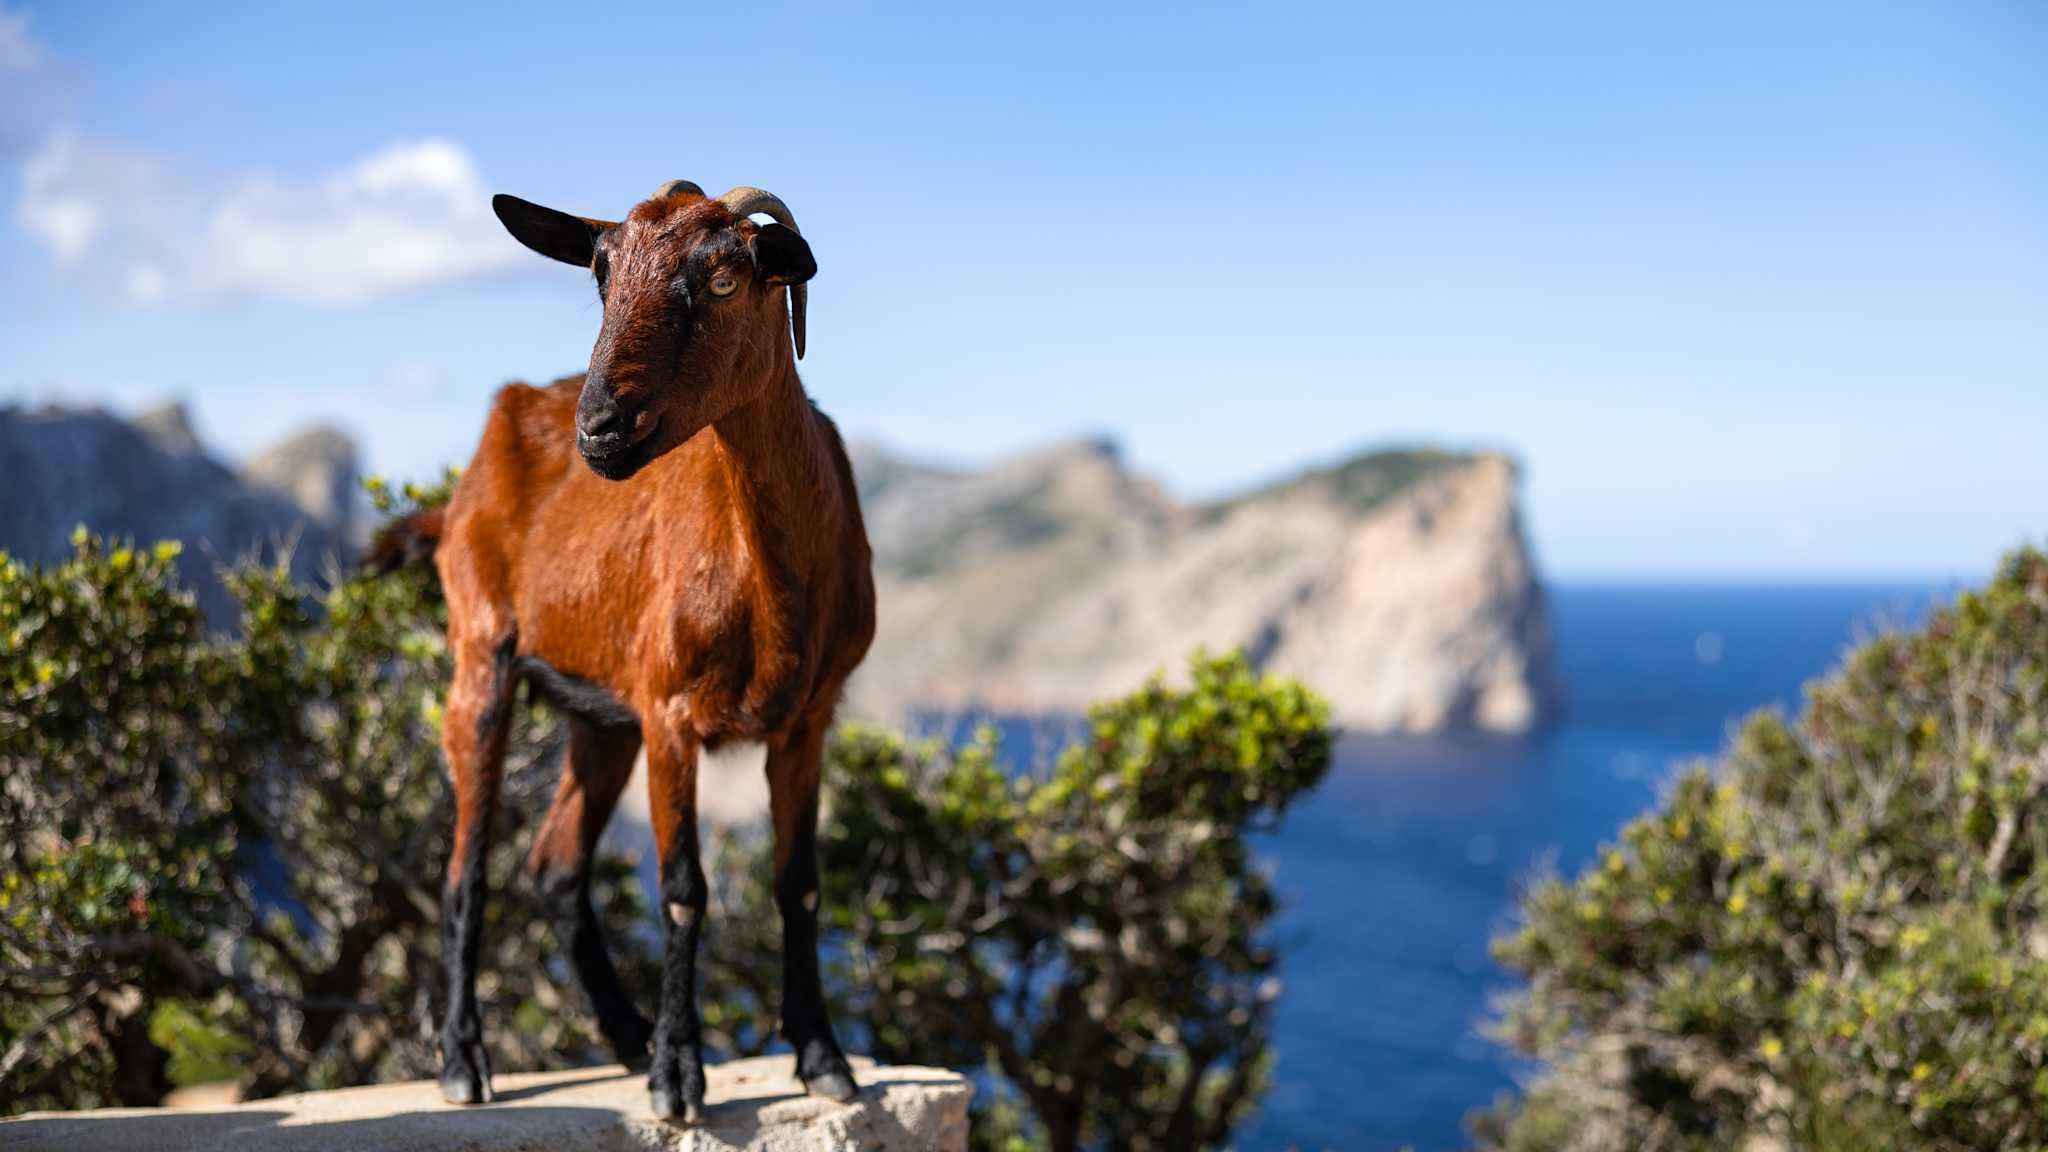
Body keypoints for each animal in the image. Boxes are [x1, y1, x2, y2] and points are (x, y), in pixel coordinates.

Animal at [370, 180, 873, 1122]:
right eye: (601, 274)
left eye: (724, 279)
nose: (600, 428)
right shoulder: (671, 711)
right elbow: (682, 890)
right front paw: (679, 1075)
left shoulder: (807, 720)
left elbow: (799, 883)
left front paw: (823, 1058)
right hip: (481, 658)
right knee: (466, 869)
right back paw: (464, 1060)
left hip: (600, 718)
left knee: (555, 865)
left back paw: (626, 1032)